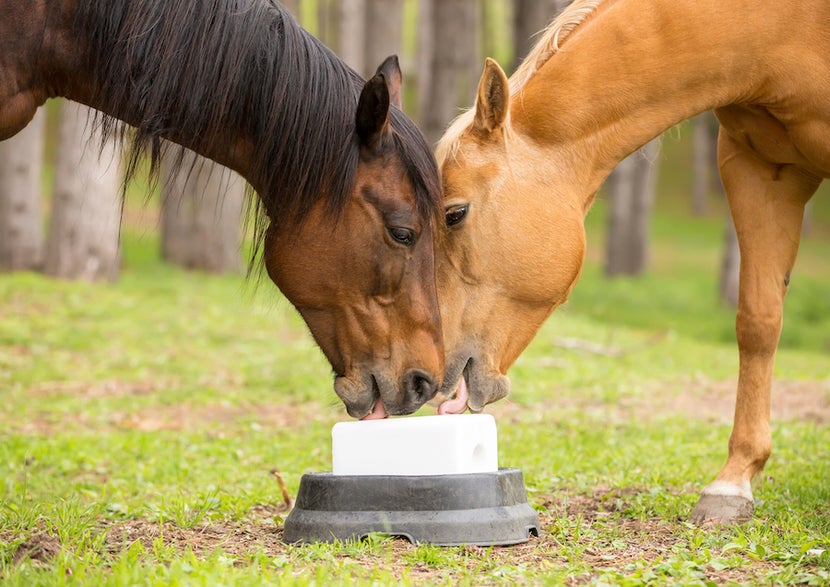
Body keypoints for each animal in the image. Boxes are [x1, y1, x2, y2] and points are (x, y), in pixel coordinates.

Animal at [436, 0, 830, 524]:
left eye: (454, 214)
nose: (433, 369)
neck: (777, 31)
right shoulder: (760, 170)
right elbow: (758, 323)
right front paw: (732, 483)